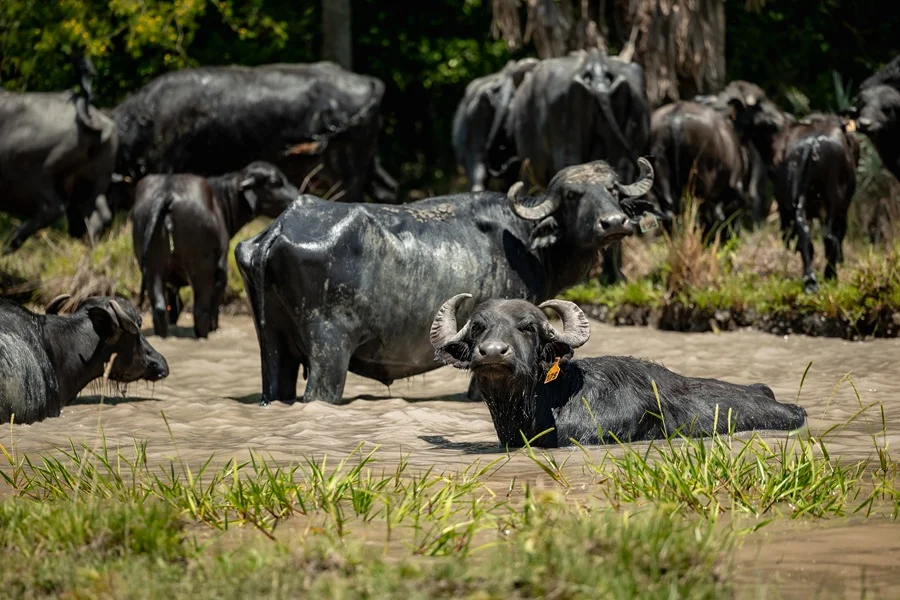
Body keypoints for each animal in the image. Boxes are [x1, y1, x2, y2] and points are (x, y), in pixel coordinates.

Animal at [133, 161, 299, 339]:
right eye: (275, 182)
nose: (296, 195)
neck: (220, 201)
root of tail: (167, 194)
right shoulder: (221, 270)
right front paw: (214, 326)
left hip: (152, 267)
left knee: (160, 308)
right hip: (201, 269)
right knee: (200, 311)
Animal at [236, 158, 659, 406]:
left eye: (613, 190)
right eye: (572, 195)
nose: (613, 223)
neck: (524, 239)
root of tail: (278, 228)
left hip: (273, 346)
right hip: (329, 350)